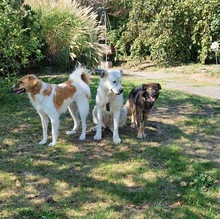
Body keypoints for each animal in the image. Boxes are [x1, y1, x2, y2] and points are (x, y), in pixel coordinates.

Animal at [10, 66, 162, 145]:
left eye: (20, 82)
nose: (10, 89)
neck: (38, 92)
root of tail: (77, 81)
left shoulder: (53, 118)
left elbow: (53, 132)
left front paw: (52, 143)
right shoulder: (43, 117)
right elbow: (44, 131)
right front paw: (43, 141)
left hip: (84, 110)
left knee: (83, 124)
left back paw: (83, 136)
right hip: (72, 109)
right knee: (77, 122)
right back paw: (74, 131)